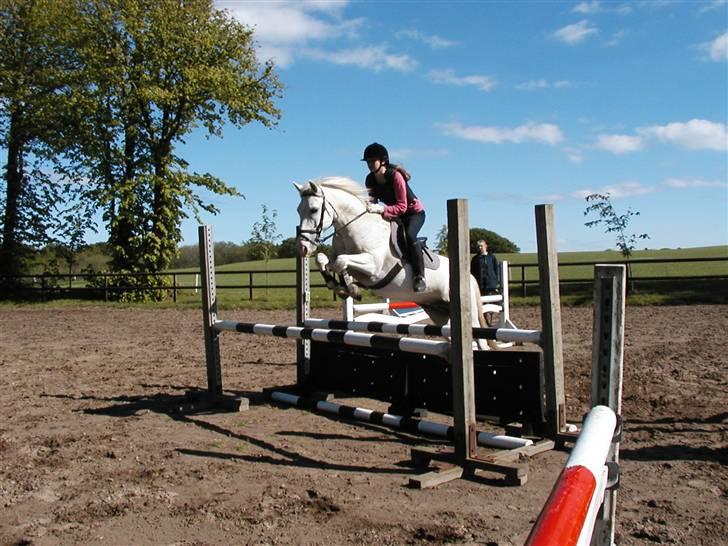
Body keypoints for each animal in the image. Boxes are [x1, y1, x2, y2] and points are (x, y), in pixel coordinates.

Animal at [292, 177, 492, 348]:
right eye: (298, 210)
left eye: (313, 209)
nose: (302, 248)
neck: (357, 228)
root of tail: (468, 275)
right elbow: (324, 259)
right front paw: (341, 286)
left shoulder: (374, 268)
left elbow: (341, 262)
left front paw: (349, 288)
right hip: (439, 312)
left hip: (466, 312)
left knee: (480, 340)